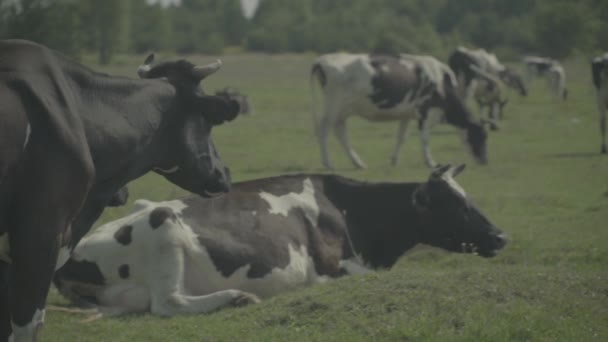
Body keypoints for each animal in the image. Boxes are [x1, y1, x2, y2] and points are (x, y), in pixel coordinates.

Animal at [54, 164, 506, 316]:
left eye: (467, 197)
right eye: (456, 205)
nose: (501, 235)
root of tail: (69, 258)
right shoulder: (334, 269)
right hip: (163, 224)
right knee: (168, 303)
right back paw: (237, 298)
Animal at [312, 52, 486, 169]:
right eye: (480, 136)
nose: (485, 161)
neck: (442, 82)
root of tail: (322, 60)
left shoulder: (407, 114)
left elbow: (401, 137)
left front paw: (394, 160)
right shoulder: (426, 112)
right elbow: (425, 138)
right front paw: (430, 162)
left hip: (342, 111)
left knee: (340, 133)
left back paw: (358, 163)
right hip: (333, 106)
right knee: (324, 130)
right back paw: (328, 163)